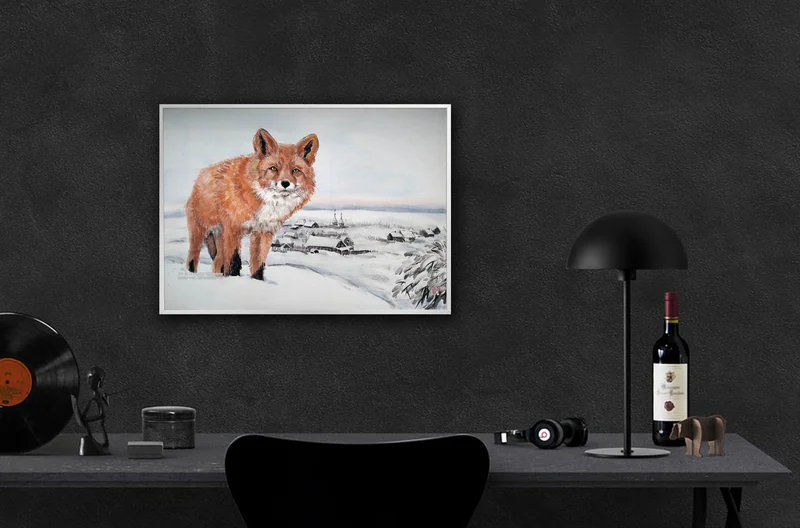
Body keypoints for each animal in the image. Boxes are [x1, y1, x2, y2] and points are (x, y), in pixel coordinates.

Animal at [184, 128, 318, 280]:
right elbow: (233, 261)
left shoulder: (263, 231)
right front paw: (233, 278)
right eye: (273, 168)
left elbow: (258, 264)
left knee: (217, 262)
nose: (285, 183)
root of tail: (199, 178)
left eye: (295, 170)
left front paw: (257, 281)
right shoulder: (233, 228)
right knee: (193, 259)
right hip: (199, 233)